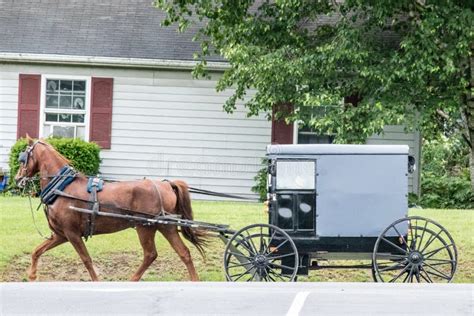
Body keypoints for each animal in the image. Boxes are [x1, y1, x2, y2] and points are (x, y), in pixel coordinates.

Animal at [15, 136, 205, 282]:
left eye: (23, 158)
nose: (17, 179)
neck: (63, 187)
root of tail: (165, 184)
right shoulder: (61, 234)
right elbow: (37, 251)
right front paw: (32, 276)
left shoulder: (72, 234)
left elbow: (86, 259)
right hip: (166, 226)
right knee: (184, 253)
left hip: (145, 227)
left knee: (150, 254)